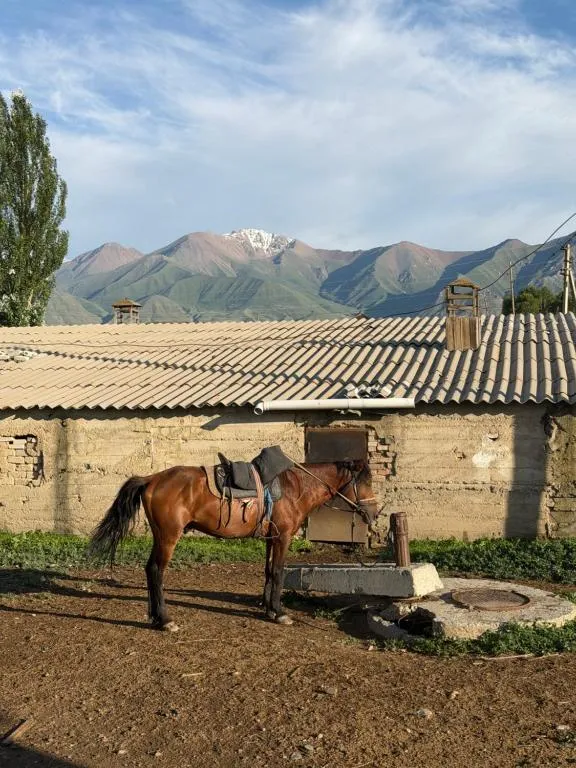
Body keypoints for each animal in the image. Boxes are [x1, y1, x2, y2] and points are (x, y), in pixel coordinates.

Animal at [89, 458, 380, 631]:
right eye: (365, 481)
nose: (375, 513)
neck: (295, 488)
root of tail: (152, 479)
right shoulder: (283, 537)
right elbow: (279, 572)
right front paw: (279, 612)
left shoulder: (271, 538)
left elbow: (268, 571)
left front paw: (268, 608)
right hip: (168, 536)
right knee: (156, 570)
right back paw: (165, 620)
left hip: (161, 535)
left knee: (149, 570)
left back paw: (154, 616)